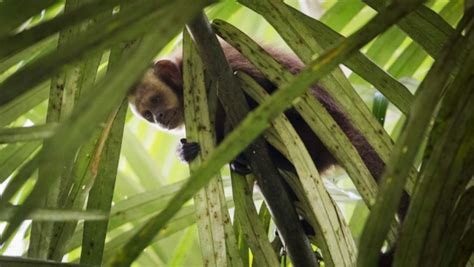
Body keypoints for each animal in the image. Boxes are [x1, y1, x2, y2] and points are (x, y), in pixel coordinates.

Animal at [128, 43, 410, 266]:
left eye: (155, 100)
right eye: (148, 115)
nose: (158, 119)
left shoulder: (218, 62)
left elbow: (258, 85)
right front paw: (185, 150)